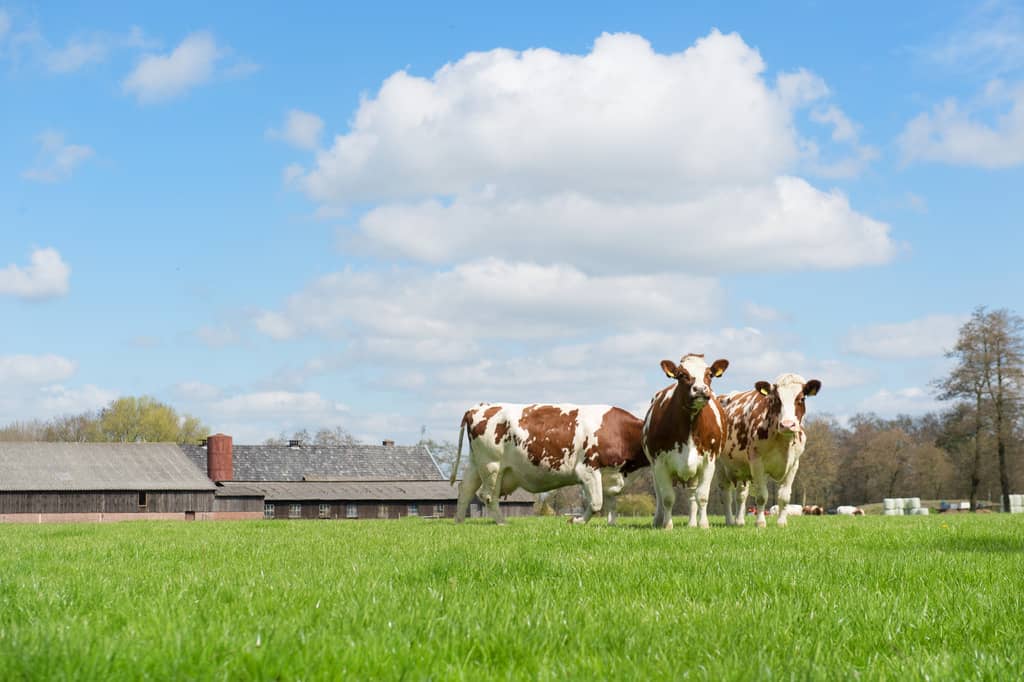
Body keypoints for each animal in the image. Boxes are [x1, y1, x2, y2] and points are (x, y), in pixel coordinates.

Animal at [452, 401, 643, 522]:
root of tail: (479, 407)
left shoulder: (610, 474)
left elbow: (611, 505)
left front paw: (611, 526)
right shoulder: (588, 470)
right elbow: (596, 503)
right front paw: (577, 521)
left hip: (476, 464)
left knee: (466, 489)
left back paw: (459, 522)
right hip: (491, 466)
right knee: (487, 495)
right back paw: (502, 522)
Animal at [638, 352, 729, 528]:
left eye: (709, 374)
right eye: (681, 375)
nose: (700, 389)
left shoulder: (709, 461)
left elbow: (702, 496)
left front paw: (703, 525)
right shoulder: (660, 463)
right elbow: (667, 498)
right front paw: (667, 526)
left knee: (692, 495)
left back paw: (692, 523)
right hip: (653, 467)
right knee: (659, 494)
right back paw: (658, 521)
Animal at [720, 372, 823, 524]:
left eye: (801, 398)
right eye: (776, 399)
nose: (787, 424)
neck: (783, 442)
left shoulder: (794, 465)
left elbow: (784, 497)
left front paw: (781, 522)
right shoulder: (757, 463)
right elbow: (762, 496)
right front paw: (760, 522)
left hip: (741, 469)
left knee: (741, 496)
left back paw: (739, 521)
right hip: (720, 466)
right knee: (726, 495)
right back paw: (729, 521)